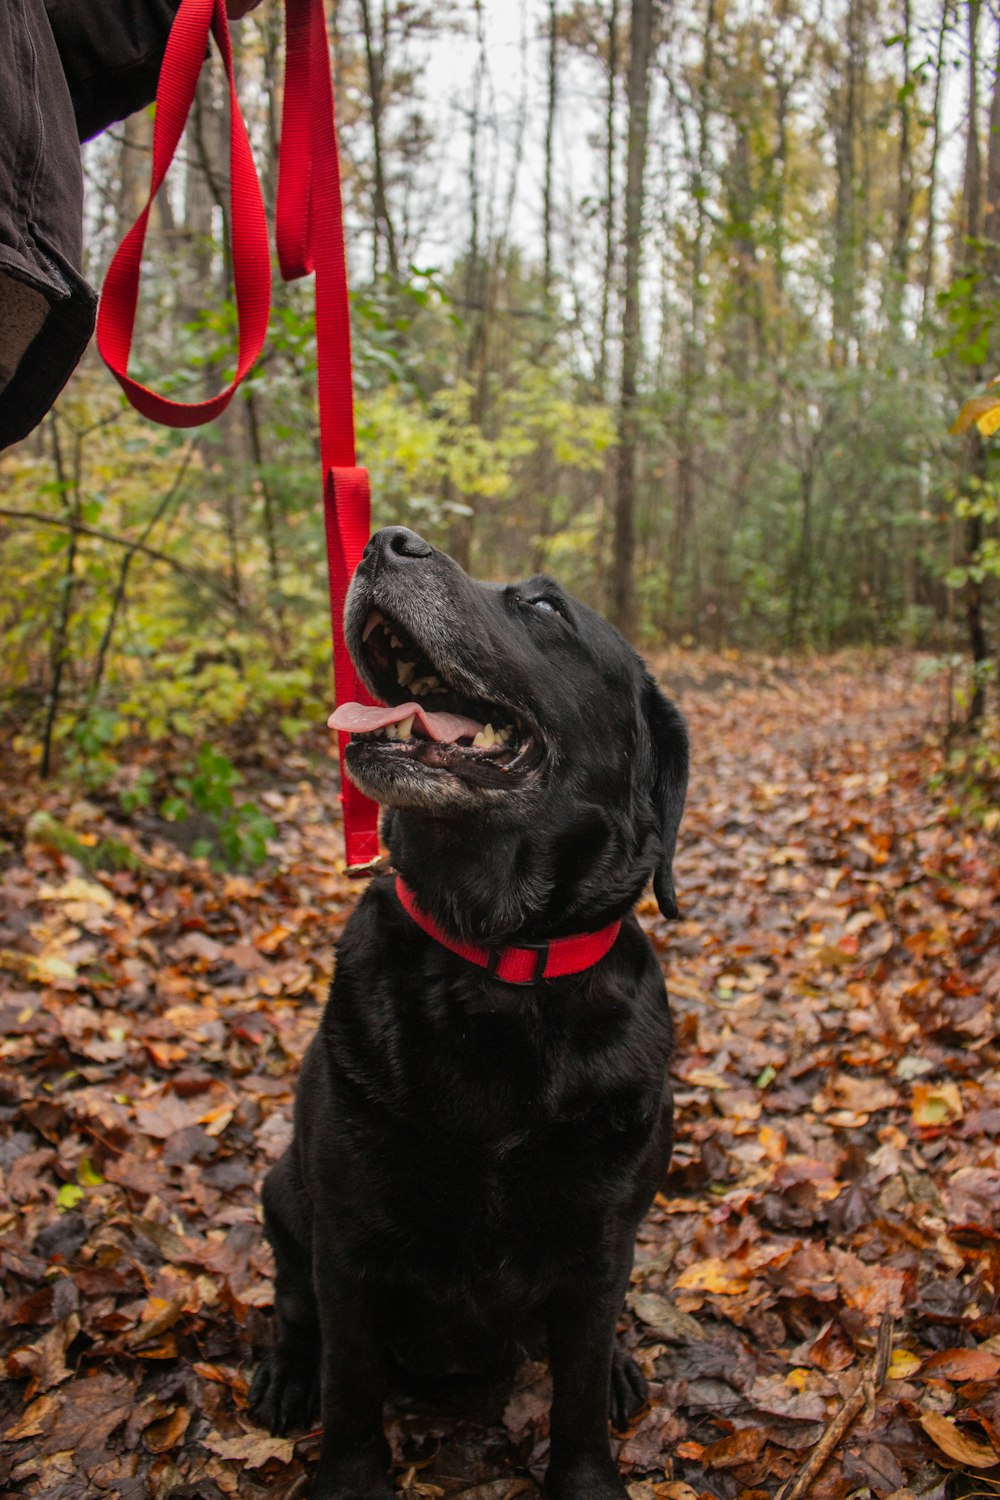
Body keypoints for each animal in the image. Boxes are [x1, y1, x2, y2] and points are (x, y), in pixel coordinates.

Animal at [248, 528, 689, 1500]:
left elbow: (574, 1395)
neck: (496, 959)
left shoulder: (600, 1245)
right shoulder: (347, 1246)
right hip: (282, 1194)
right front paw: (346, 1475)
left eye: (545, 606)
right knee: (294, 1313)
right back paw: (285, 1372)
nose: (387, 540)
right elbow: (350, 1387)